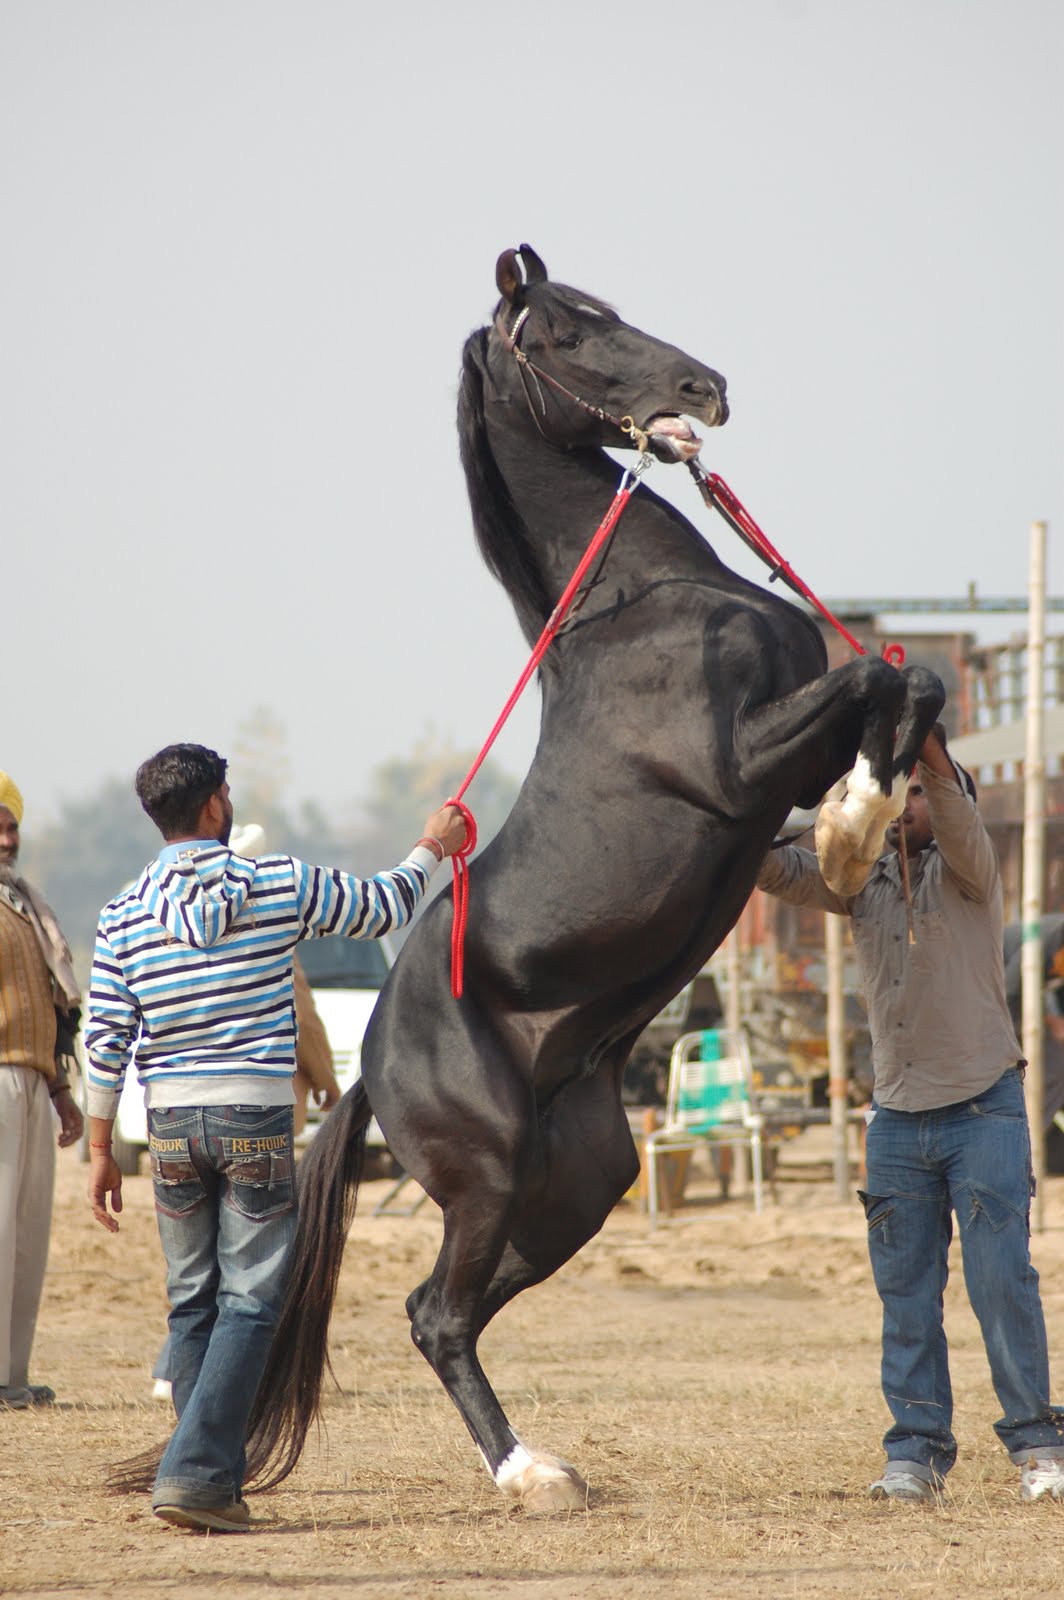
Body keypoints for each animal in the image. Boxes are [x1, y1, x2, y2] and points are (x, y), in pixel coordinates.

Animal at [244, 244, 944, 1512]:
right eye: (565, 331)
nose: (708, 388)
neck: (636, 601)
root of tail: (370, 1060)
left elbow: (906, 682)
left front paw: (857, 824)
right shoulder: (741, 765)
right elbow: (874, 677)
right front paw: (850, 825)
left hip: (573, 1182)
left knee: (450, 1310)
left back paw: (535, 1462)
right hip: (483, 1175)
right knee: (434, 1316)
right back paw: (531, 1474)